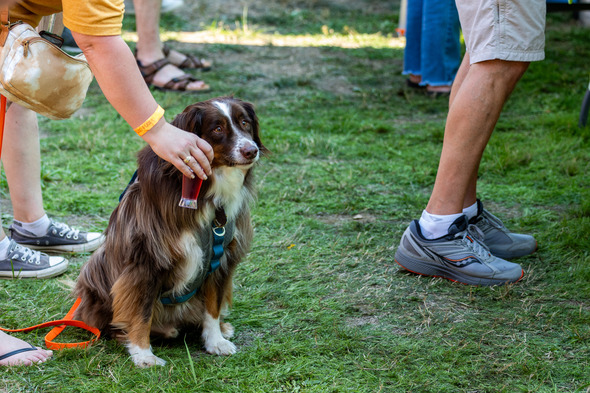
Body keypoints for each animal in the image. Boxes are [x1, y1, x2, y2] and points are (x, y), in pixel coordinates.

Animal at [74, 96, 266, 366]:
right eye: (217, 128)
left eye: (245, 123)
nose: (251, 150)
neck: (207, 194)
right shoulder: (146, 260)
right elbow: (141, 311)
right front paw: (143, 354)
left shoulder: (222, 258)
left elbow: (213, 305)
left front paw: (215, 340)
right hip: (94, 273)